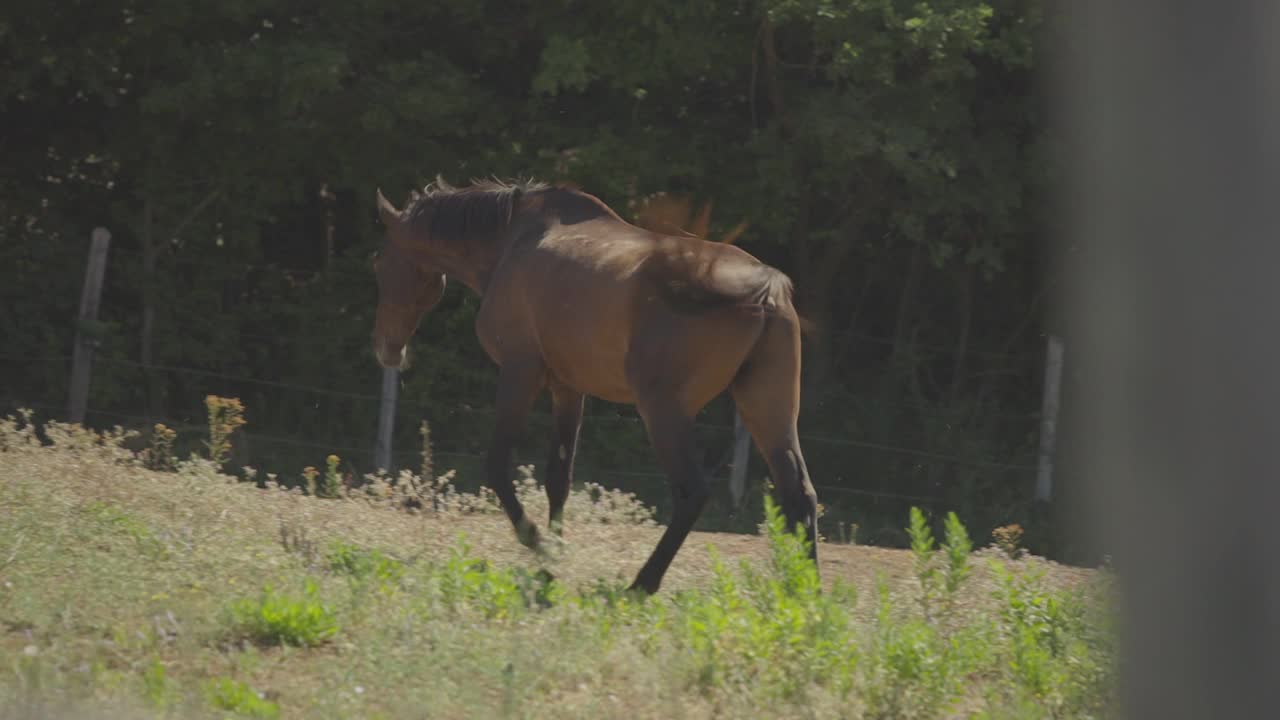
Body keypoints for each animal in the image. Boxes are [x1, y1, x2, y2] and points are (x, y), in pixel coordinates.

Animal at [371, 176, 814, 591]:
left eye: (382, 262)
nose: (386, 350)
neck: (514, 239)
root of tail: (766, 291)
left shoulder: (520, 372)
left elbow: (497, 466)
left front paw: (540, 546)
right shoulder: (568, 388)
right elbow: (558, 478)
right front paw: (553, 561)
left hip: (663, 412)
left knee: (693, 492)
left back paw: (642, 584)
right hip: (768, 412)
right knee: (800, 494)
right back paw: (802, 591)